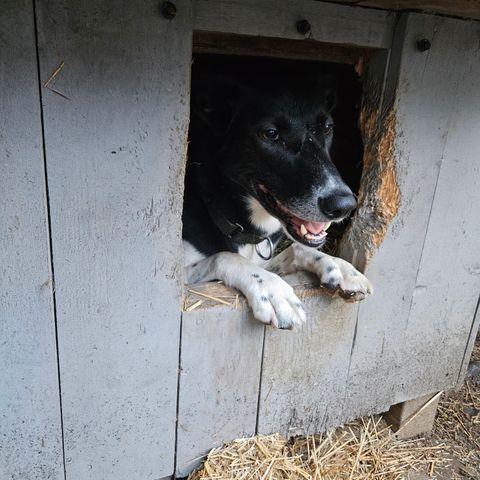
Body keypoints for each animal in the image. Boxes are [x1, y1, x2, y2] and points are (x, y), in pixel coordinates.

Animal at [182, 71, 374, 328]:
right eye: (271, 134)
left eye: (327, 127)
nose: (343, 206)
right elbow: (224, 257)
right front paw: (273, 290)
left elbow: (298, 249)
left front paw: (339, 266)